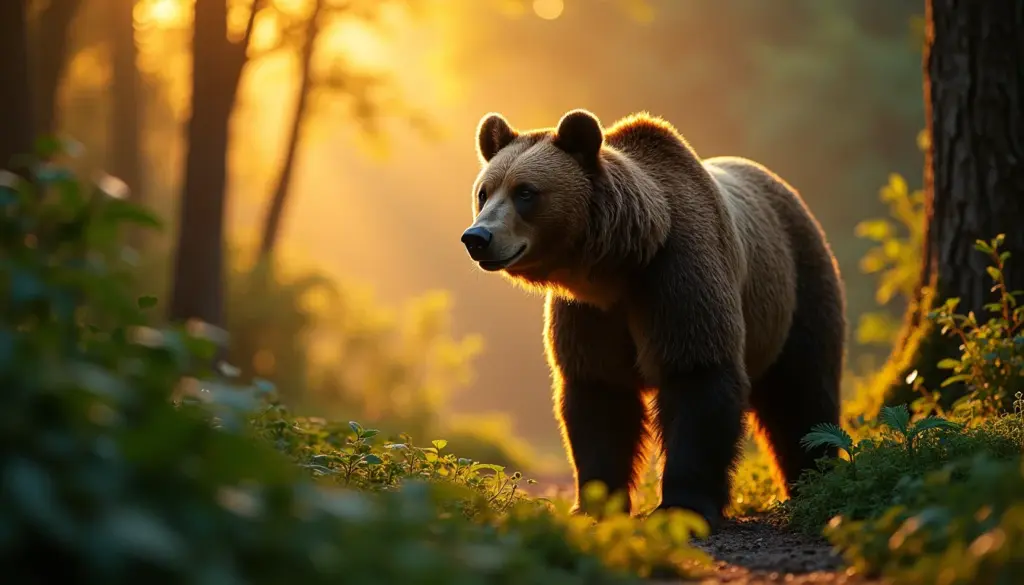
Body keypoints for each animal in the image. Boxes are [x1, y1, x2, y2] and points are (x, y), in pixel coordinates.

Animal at [459, 108, 845, 530]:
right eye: (484, 192)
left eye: (526, 192)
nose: (477, 237)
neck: (621, 267)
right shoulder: (590, 315)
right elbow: (599, 398)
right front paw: (594, 503)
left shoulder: (678, 278)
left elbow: (698, 377)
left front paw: (683, 504)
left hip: (797, 287)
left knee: (802, 391)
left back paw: (812, 480)